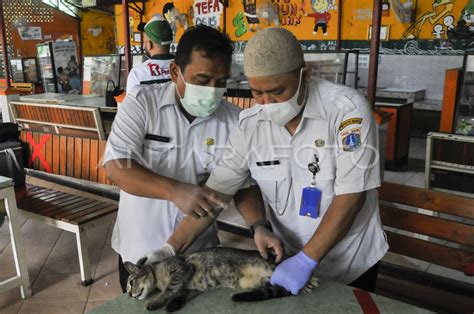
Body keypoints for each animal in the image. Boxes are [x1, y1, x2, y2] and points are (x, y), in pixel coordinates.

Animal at [124, 248, 320, 312]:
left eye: (131, 283)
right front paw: (172, 305)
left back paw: (308, 281)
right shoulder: (190, 288)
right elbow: (179, 295)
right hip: (253, 282)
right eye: (128, 287)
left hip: (270, 267)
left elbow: (169, 290)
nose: (130, 295)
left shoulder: (182, 269)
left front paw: (154, 302)